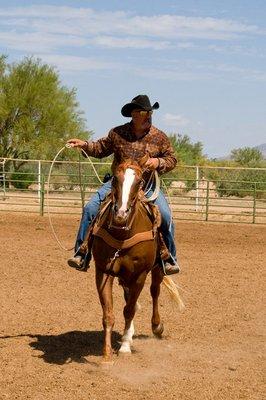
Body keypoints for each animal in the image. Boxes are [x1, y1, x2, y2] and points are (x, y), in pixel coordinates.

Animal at [91, 158, 181, 360]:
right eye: (115, 179)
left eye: (139, 182)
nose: (121, 213)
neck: (122, 232)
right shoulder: (103, 271)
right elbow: (109, 313)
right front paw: (107, 354)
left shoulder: (140, 274)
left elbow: (129, 309)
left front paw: (124, 346)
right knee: (128, 296)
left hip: (156, 269)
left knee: (154, 292)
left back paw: (156, 326)